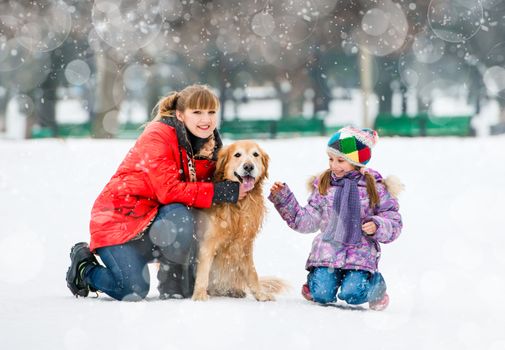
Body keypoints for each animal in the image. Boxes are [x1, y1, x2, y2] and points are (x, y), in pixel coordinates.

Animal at [193, 139, 286, 300]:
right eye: (237, 155)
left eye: (255, 154)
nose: (248, 166)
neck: (239, 203)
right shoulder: (208, 242)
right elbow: (203, 271)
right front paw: (199, 295)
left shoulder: (245, 243)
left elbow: (252, 273)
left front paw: (260, 294)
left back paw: (234, 290)